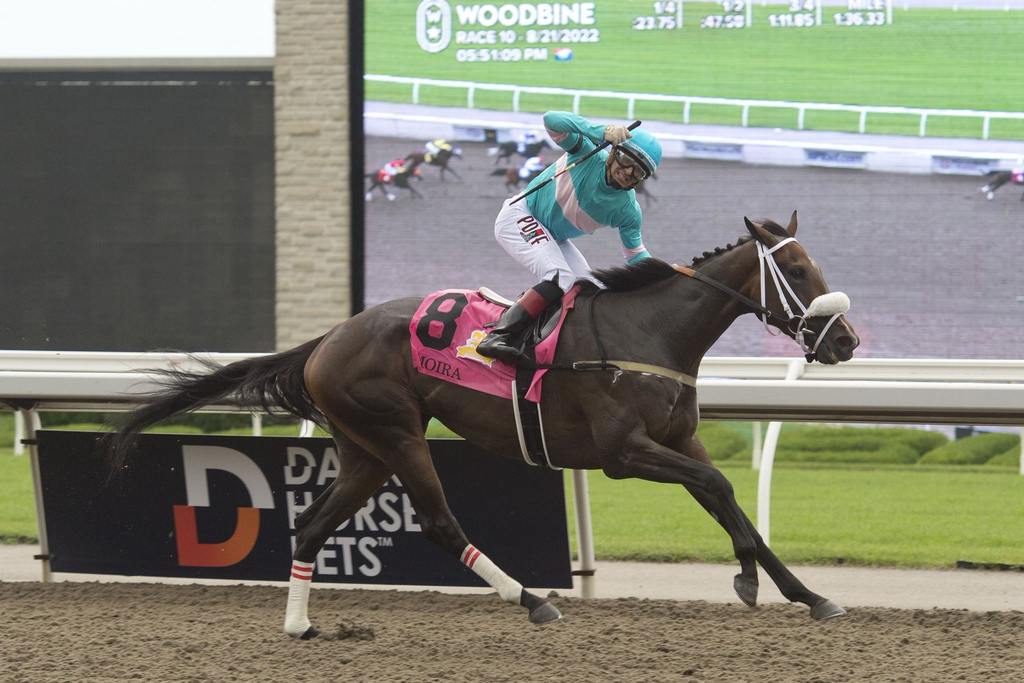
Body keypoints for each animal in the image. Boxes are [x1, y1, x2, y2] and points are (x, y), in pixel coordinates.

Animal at [103, 214, 856, 643]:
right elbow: (718, 487)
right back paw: (532, 601)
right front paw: (751, 580)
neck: (649, 333)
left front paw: (806, 593)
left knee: (313, 524)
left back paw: (300, 624)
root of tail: (327, 338)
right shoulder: (625, 452)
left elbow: (726, 496)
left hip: (365, 449)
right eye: (795, 269)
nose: (845, 340)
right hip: (398, 434)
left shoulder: (676, 440)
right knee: (440, 523)